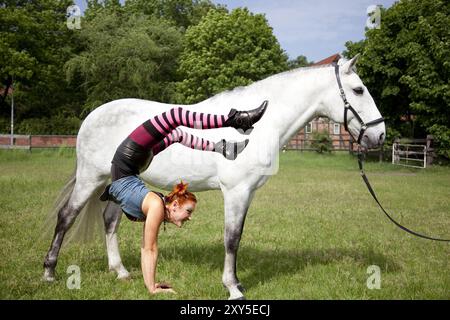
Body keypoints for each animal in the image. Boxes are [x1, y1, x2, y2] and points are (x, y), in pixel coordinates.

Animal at [44, 55, 384, 300]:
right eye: (358, 90)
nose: (379, 135)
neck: (260, 126)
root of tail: (92, 115)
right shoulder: (236, 191)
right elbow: (231, 238)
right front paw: (233, 288)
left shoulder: (248, 193)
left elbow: (237, 236)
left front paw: (237, 283)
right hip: (91, 178)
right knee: (66, 217)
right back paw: (49, 272)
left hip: (118, 181)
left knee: (109, 221)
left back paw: (121, 272)